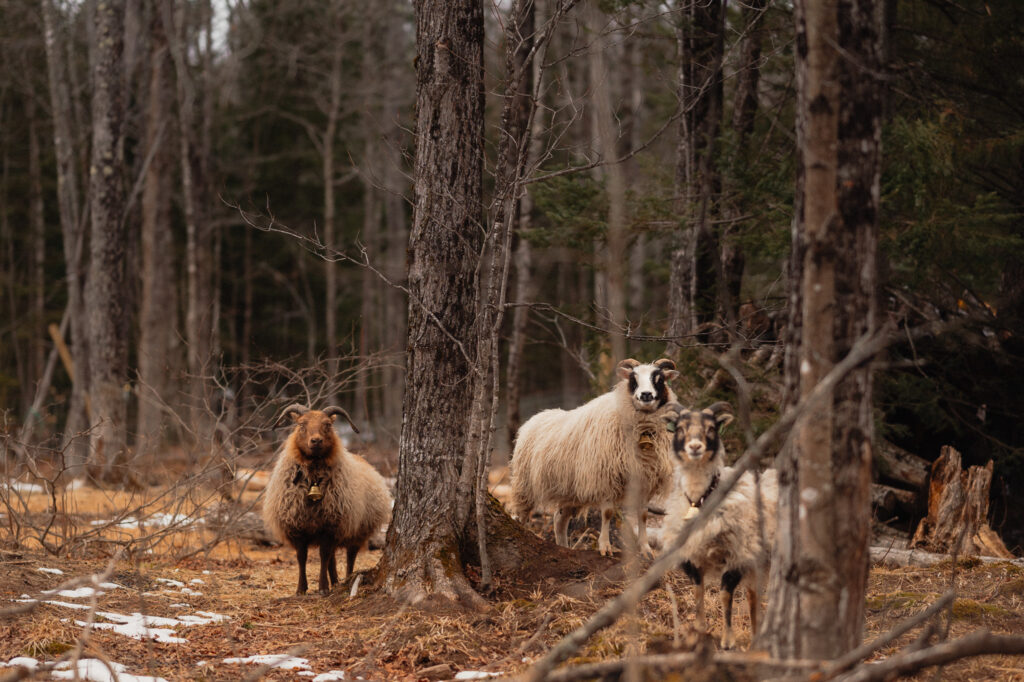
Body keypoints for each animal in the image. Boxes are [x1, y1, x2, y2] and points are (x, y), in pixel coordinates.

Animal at [260, 403, 391, 593]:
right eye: (301, 424)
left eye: (328, 425)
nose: (316, 441)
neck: (314, 478)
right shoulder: (298, 527)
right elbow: (302, 557)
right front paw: (301, 589)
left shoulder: (330, 526)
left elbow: (323, 556)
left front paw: (322, 587)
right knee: (333, 558)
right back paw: (335, 581)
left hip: (357, 530)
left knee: (350, 556)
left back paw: (346, 579)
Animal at [505, 356, 679, 552]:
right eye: (633, 380)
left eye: (659, 379)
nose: (646, 395)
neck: (642, 431)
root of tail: (533, 420)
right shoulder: (605, 478)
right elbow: (608, 513)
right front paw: (605, 547)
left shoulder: (645, 480)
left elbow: (643, 514)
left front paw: (646, 549)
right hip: (524, 484)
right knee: (521, 515)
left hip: (570, 491)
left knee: (559, 519)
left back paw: (565, 547)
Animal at [659, 401, 778, 647]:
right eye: (680, 428)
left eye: (711, 428)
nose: (695, 447)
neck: (699, 500)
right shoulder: (692, 557)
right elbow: (698, 592)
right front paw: (698, 632)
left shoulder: (736, 555)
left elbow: (725, 595)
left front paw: (727, 641)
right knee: (753, 596)